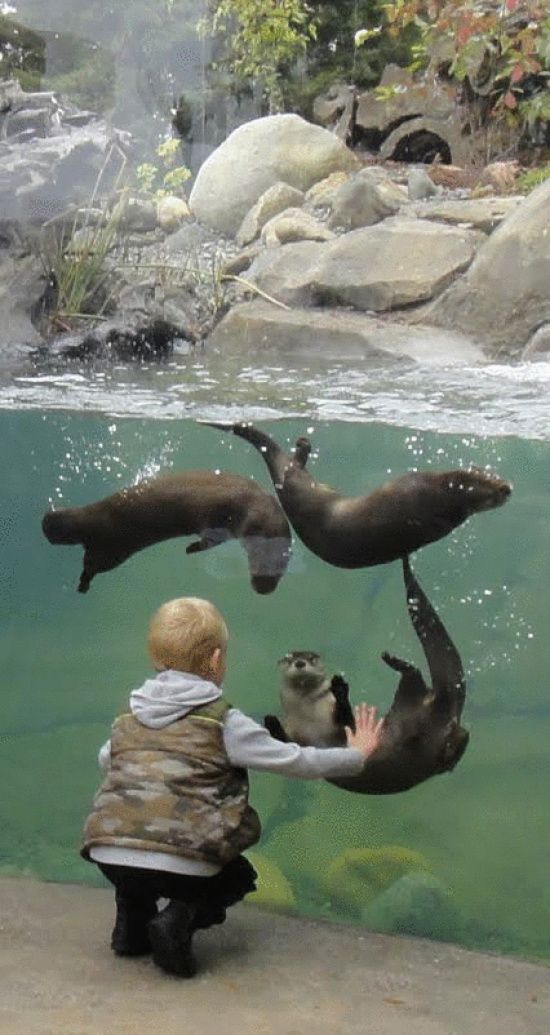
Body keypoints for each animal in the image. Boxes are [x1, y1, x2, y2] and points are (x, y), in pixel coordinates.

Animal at [42, 467, 292, 596]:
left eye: (282, 568)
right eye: (260, 556)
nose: (264, 587)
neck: (250, 503)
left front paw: (192, 548)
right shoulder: (220, 511)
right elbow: (207, 532)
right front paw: (191, 548)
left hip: (113, 549)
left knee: (91, 562)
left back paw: (82, 584)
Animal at [201, 418, 511, 567]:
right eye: (491, 478)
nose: (507, 488)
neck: (438, 495)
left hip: (298, 486)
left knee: (291, 469)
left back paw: (303, 446)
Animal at [265, 558, 470, 790]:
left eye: (312, 658)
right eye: (289, 658)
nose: (299, 662)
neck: (309, 715)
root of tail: (446, 709)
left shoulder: (339, 726)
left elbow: (349, 721)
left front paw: (339, 688)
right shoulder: (296, 734)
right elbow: (289, 747)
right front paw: (270, 721)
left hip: (412, 705)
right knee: (414, 679)